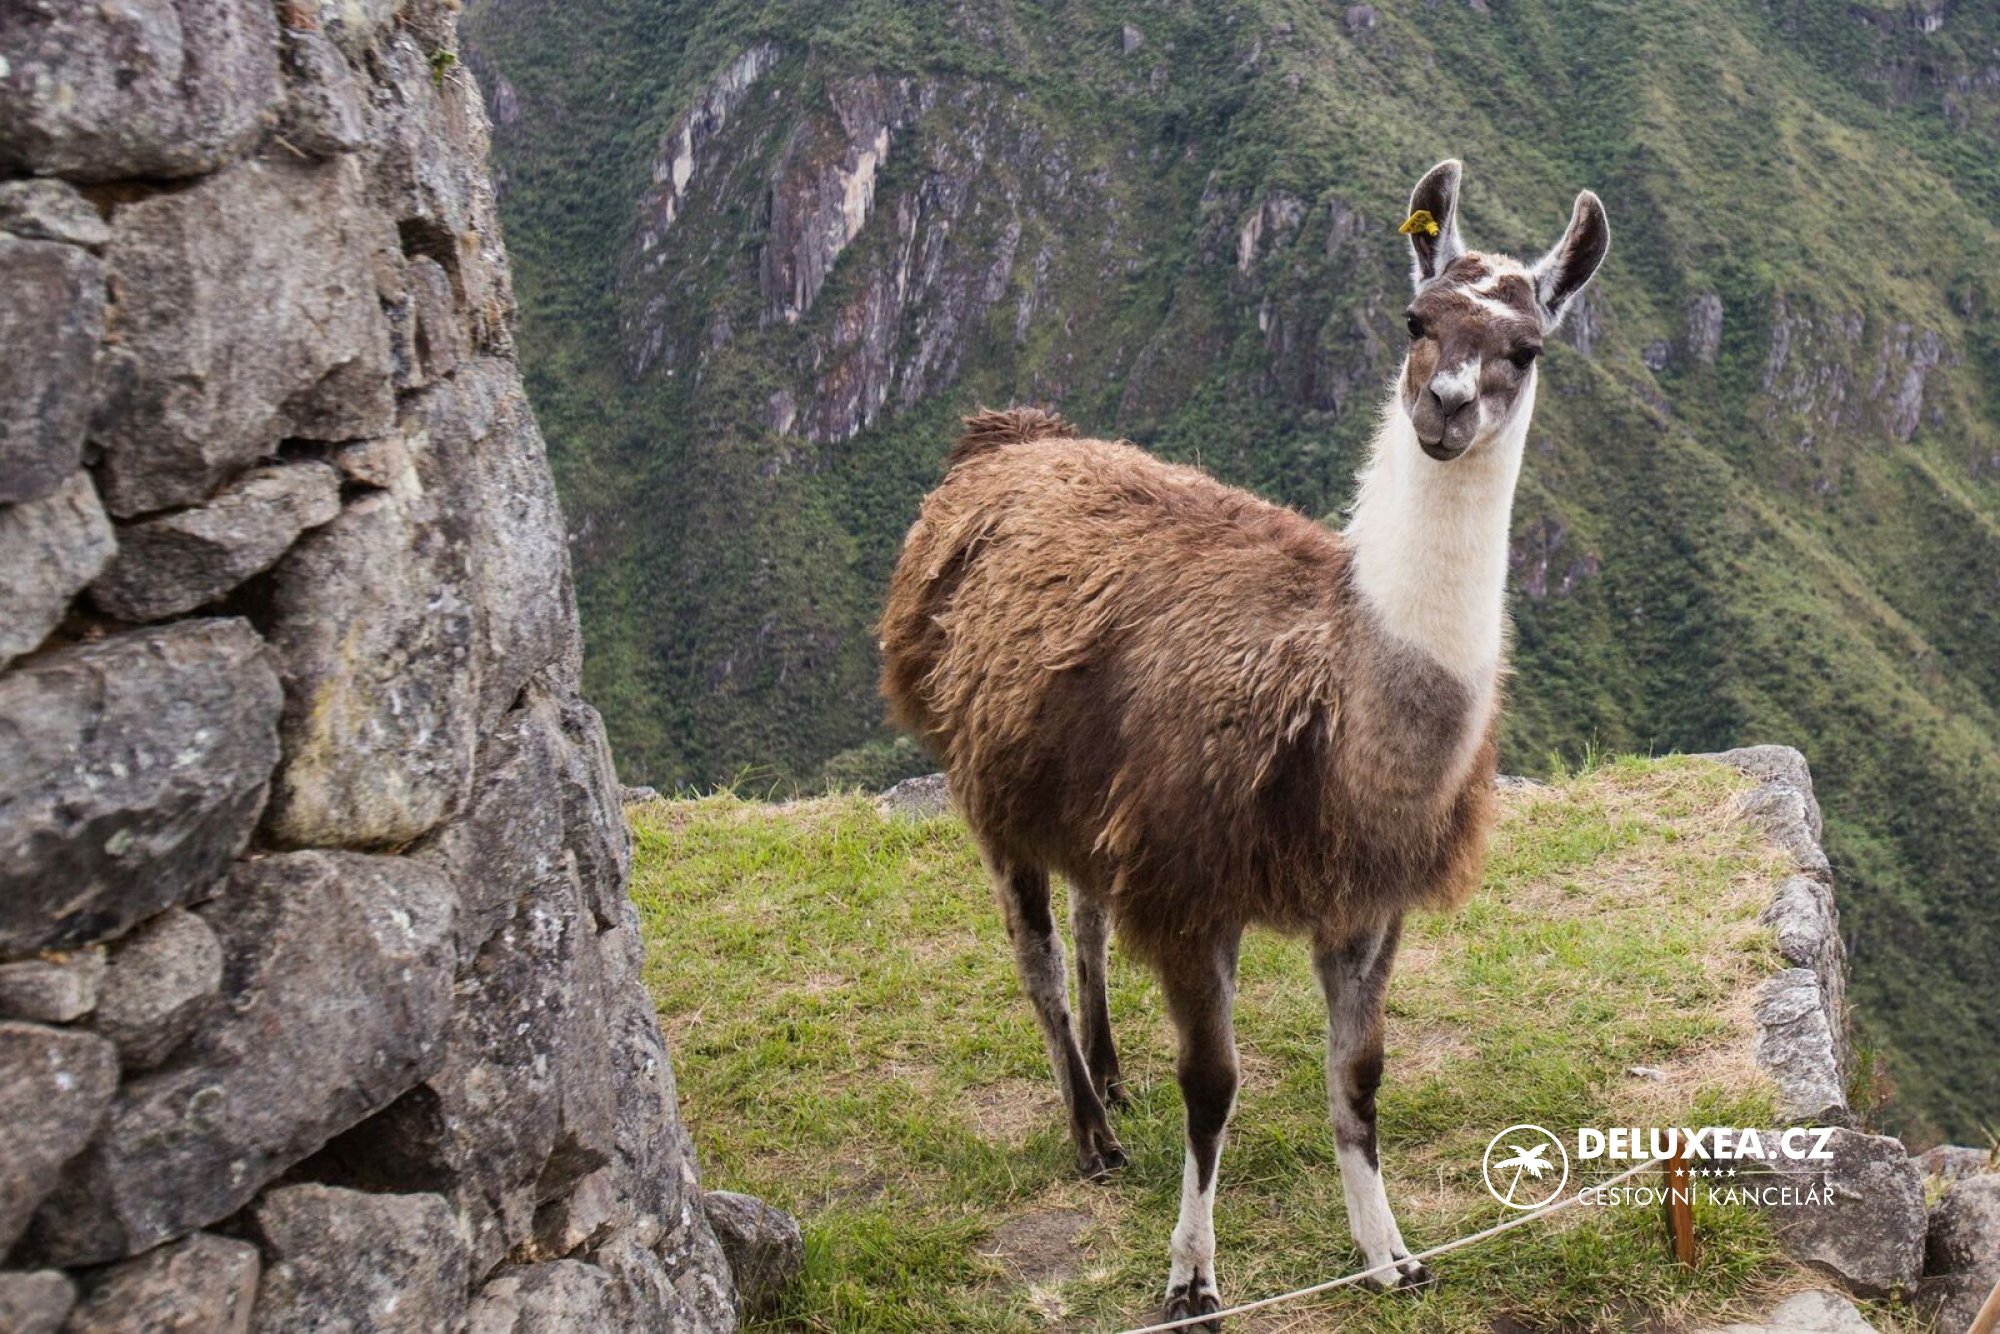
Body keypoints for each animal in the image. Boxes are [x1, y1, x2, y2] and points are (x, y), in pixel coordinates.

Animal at [878, 159, 1608, 1327]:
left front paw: (1389, 1254)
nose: (1444, 409)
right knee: (1036, 954)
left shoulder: (1365, 900)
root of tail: (1009, 439)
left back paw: (1108, 1069)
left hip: (1090, 789)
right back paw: (1090, 1129)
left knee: (1090, 919)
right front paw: (1192, 1276)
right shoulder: (1195, 885)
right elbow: (1213, 1087)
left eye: (1526, 347)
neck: (1343, 710)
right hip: (985, 775)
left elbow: (1358, 1077)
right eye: (1416, 319)